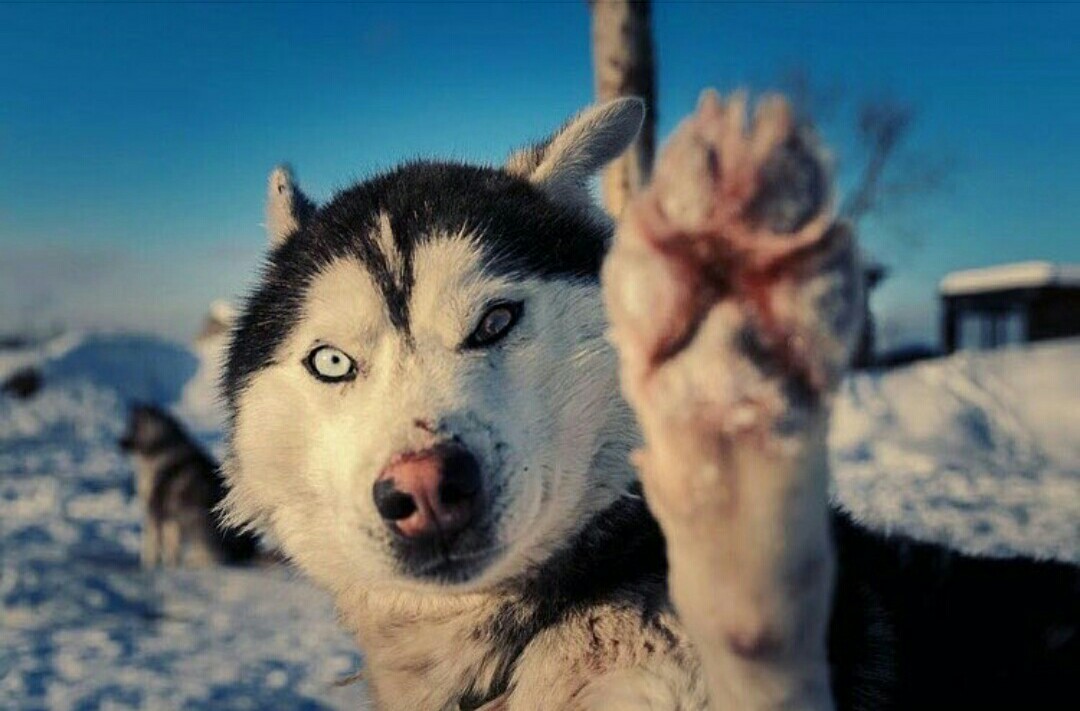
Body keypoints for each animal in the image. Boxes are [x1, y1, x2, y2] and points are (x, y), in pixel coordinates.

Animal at [119, 404, 260, 566]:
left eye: (133, 427)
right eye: (128, 425)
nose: (119, 442)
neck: (161, 448)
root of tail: (247, 552)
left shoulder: (155, 511)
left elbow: (150, 544)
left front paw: (149, 565)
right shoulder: (171, 518)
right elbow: (170, 545)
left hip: (194, 522)